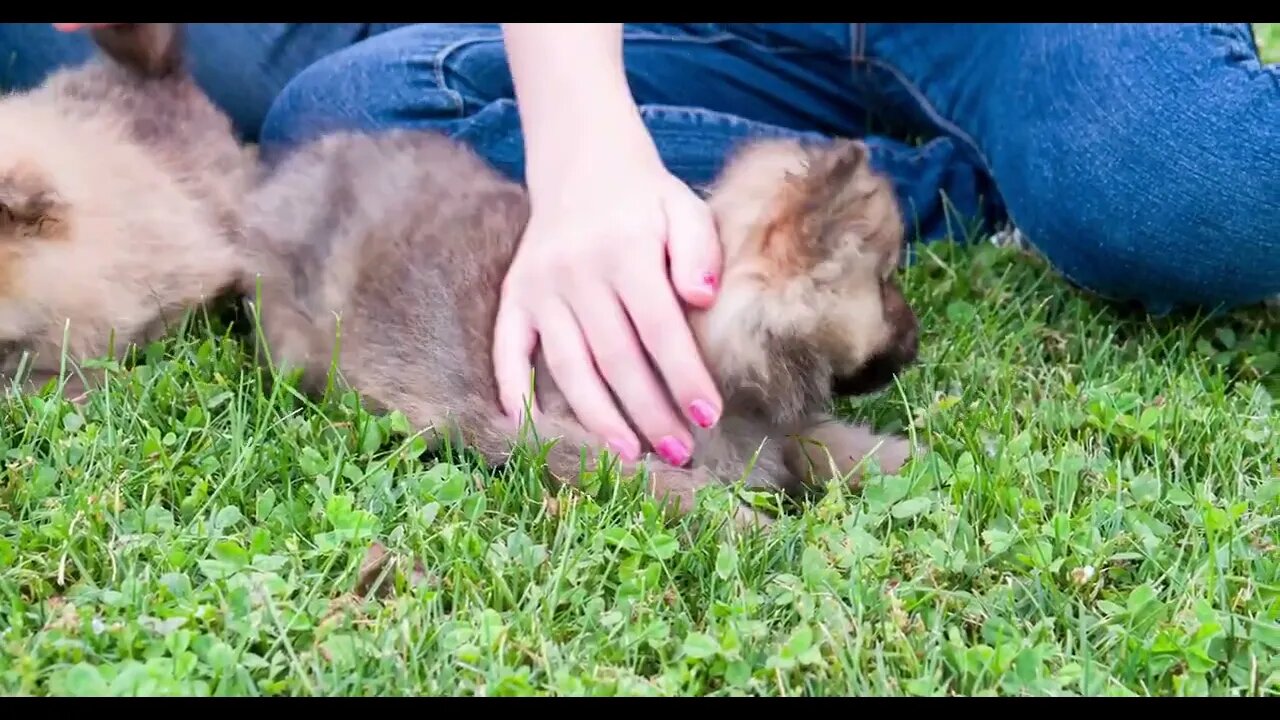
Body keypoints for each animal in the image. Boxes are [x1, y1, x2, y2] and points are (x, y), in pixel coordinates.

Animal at [240, 126, 921, 525]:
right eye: (886, 281)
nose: (915, 346)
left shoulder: (773, 431)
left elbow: (830, 441)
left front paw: (902, 460)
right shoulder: (559, 437)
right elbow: (669, 484)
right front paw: (751, 526)